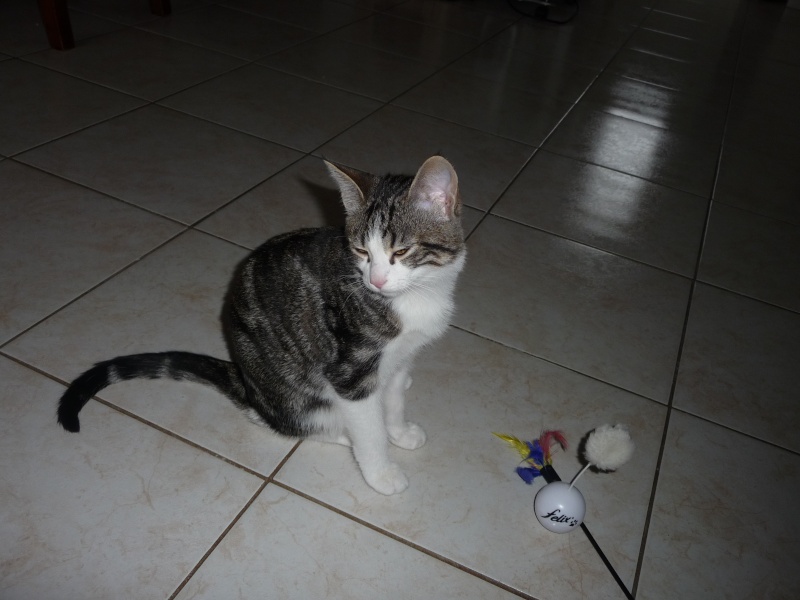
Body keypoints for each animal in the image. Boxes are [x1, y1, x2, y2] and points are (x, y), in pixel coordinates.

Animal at [57, 156, 468, 496]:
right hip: (298, 395)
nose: (377, 280)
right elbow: (369, 427)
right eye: (362, 251)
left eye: (401, 251)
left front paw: (400, 430)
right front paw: (382, 472)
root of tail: (246, 383)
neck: (415, 297)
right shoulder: (350, 369)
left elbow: (395, 394)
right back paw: (340, 433)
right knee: (289, 421)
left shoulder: (402, 354)